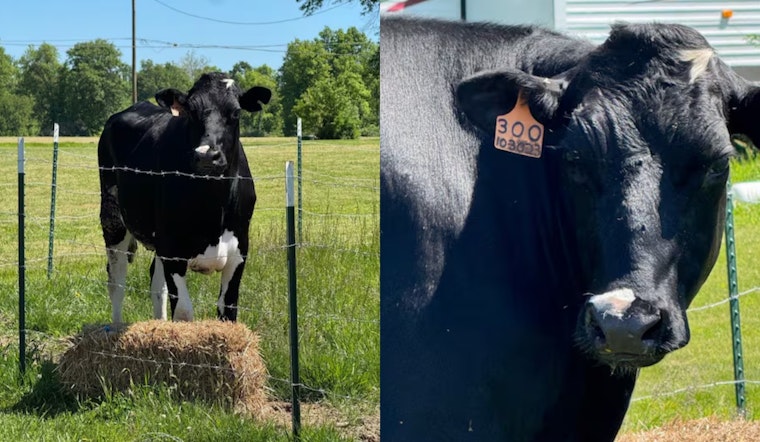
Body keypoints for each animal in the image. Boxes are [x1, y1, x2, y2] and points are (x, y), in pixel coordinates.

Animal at [98, 72, 271, 324]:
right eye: (190, 111)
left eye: (236, 112)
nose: (207, 155)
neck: (214, 207)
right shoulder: (172, 250)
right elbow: (183, 313)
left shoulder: (239, 250)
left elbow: (228, 309)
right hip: (113, 219)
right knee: (116, 282)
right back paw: (116, 326)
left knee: (156, 285)